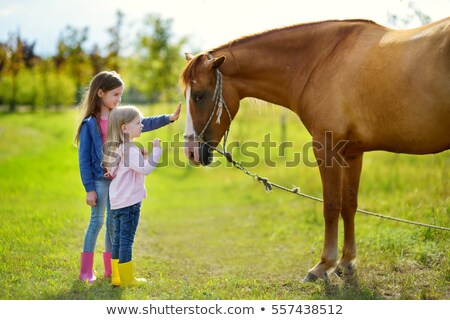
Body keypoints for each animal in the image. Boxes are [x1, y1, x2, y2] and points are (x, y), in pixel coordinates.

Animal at [180, 18, 450, 282]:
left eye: (199, 96)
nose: (191, 151)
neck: (321, 61)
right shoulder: (352, 153)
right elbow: (349, 204)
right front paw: (346, 262)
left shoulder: (326, 150)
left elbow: (330, 206)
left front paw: (323, 265)